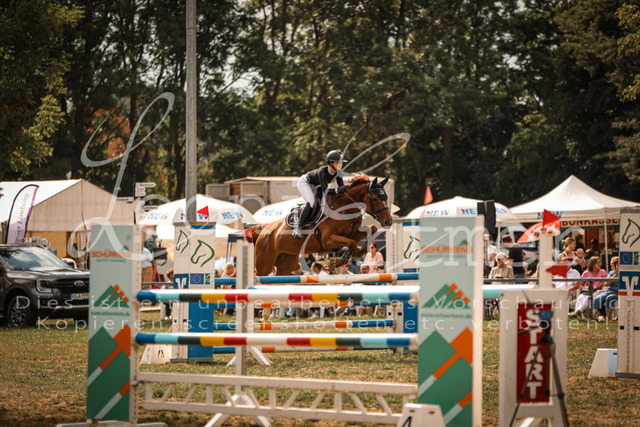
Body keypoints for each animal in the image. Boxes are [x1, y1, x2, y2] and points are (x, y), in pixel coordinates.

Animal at [246, 175, 393, 276]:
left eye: (386, 197)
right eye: (375, 198)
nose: (388, 221)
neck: (343, 209)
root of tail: (263, 230)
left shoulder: (353, 232)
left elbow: (371, 229)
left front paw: (358, 251)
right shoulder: (327, 239)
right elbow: (350, 243)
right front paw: (338, 260)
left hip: (286, 264)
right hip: (265, 263)